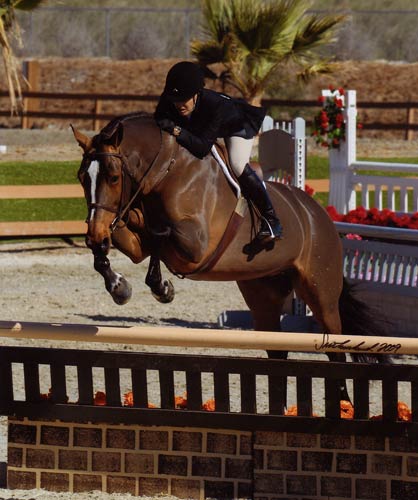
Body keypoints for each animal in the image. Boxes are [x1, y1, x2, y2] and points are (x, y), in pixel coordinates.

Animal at [72, 112, 388, 402]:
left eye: (114, 177)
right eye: (81, 178)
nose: (94, 234)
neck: (166, 169)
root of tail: (317, 213)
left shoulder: (195, 246)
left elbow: (159, 234)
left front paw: (161, 288)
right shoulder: (135, 238)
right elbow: (130, 236)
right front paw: (119, 285)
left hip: (320, 293)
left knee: (335, 348)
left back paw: (344, 405)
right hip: (263, 294)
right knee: (278, 349)